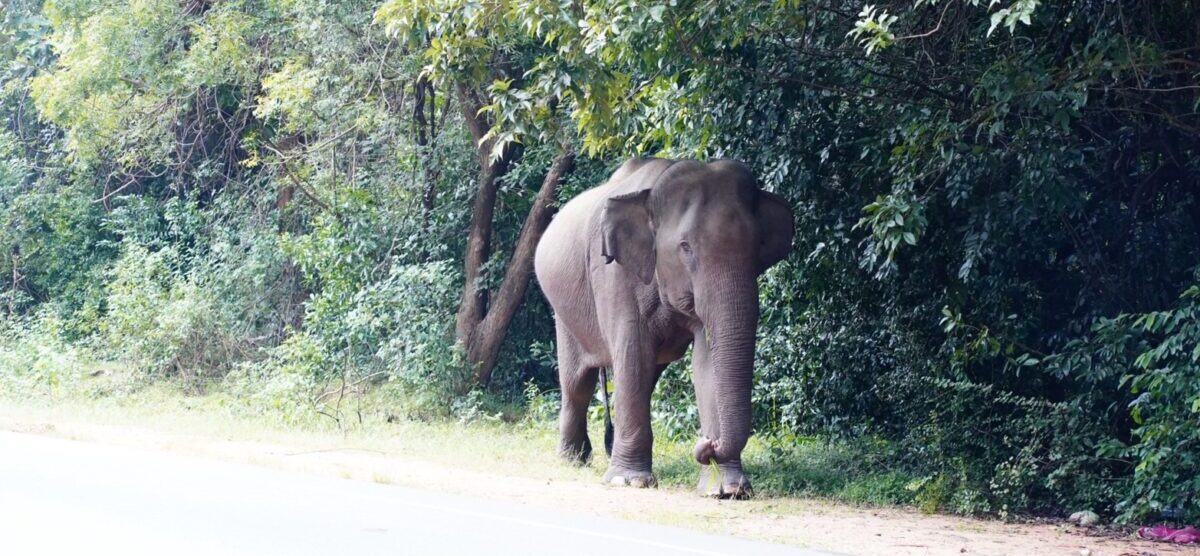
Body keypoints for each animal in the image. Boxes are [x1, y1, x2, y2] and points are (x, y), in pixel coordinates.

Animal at [533, 157, 794, 498]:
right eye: (685, 247)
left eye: (758, 245)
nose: (707, 443)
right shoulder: (616, 274)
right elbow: (633, 354)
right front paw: (628, 481)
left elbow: (705, 363)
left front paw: (727, 490)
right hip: (563, 312)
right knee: (577, 383)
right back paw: (572, 459)